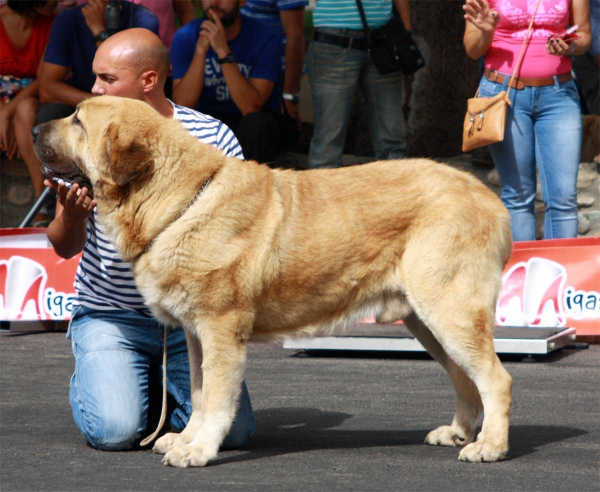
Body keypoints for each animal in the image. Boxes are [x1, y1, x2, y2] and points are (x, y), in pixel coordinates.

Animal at [34, 97, 510, 468]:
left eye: (78, 121)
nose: (36, 128)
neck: (179, 201)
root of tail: (488, 197)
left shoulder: (221, 329)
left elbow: (217, 397)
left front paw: (199, 450)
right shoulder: (195, 333)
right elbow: (201, 392)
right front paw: (186, 439)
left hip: (448, 310)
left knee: (495, 379)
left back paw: (489, 446)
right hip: (426, 321)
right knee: (464, 377)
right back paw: (458, 432)